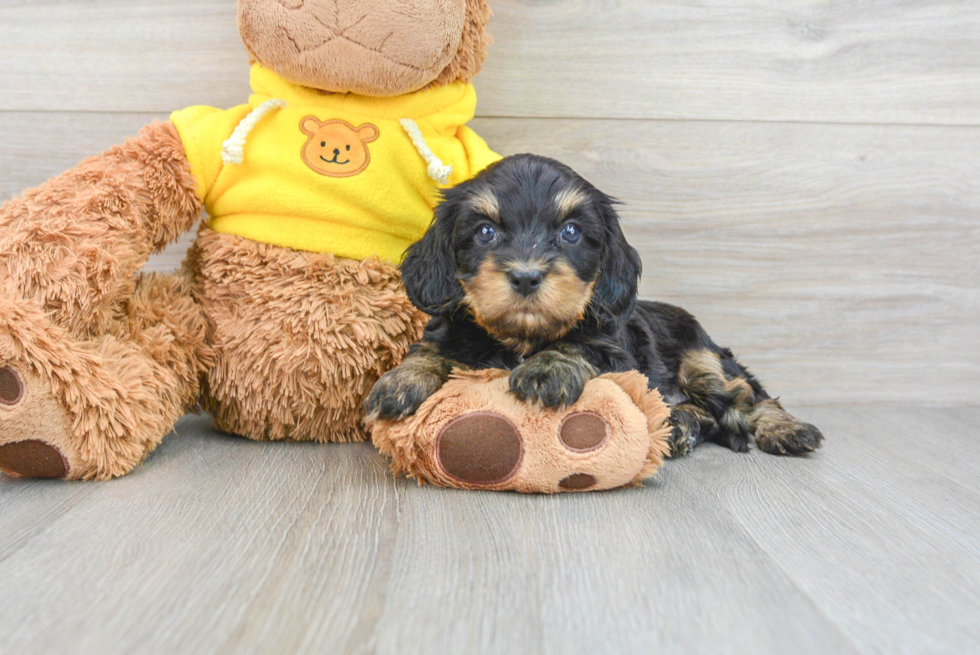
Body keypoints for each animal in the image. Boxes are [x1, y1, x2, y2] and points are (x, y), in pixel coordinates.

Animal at [364, 156, 824, 458]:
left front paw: (547, 370)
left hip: (703, 360)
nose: (526, 276)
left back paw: (787, 429)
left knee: (746, 394)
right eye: (485, 232)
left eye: (570, 232)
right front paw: (400, 382)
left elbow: (576, 345)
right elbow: (430, 350)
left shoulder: (613, 351)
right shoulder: (450, 330)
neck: (522, 338)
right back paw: (679, 425)